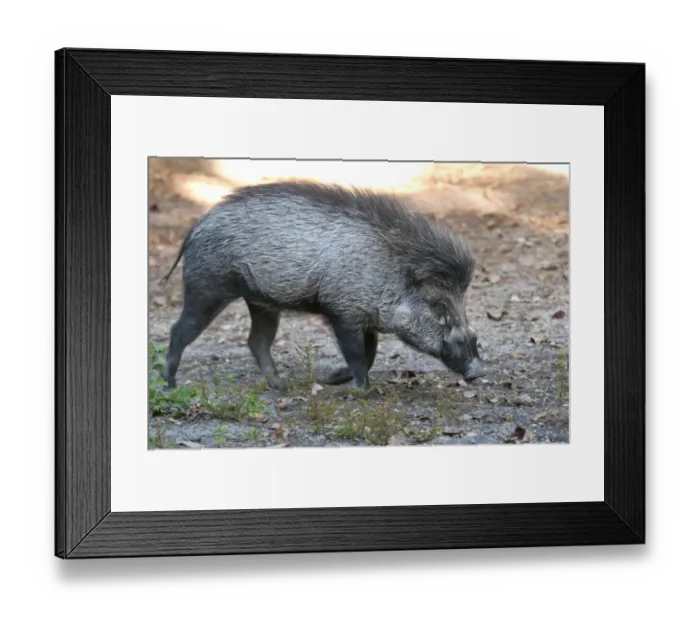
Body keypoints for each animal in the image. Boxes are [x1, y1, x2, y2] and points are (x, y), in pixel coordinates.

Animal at [161, 181, 485, 396]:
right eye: (438, 306)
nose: (477, 372)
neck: (388, 272)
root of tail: (196, 226)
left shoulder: (365, 319)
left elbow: (370, 354)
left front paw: (332, 379)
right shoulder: (343, 312)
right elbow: (358, 355)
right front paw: (364, 392)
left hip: (261, 303)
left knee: (257, 341)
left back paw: (281, 386)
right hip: (206, 288)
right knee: (179, 331)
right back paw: (170, 385)